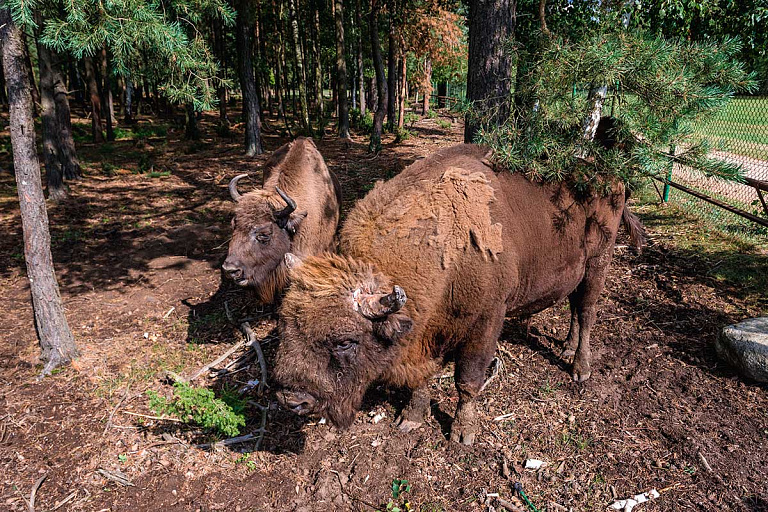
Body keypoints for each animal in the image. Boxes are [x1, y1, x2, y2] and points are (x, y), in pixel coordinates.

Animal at [274, 143, 640, 444]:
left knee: (587, 311)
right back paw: (565, 348)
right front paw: (410, 419)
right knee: (575, 308)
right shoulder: (424, 334)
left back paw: (580, 368)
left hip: (598, 264)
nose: (293, 400)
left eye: (345, 342)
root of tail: (612, 178)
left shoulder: (486, 321)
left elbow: (467, 380)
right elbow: (420, 380)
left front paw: (463, 433)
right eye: (284, 327)